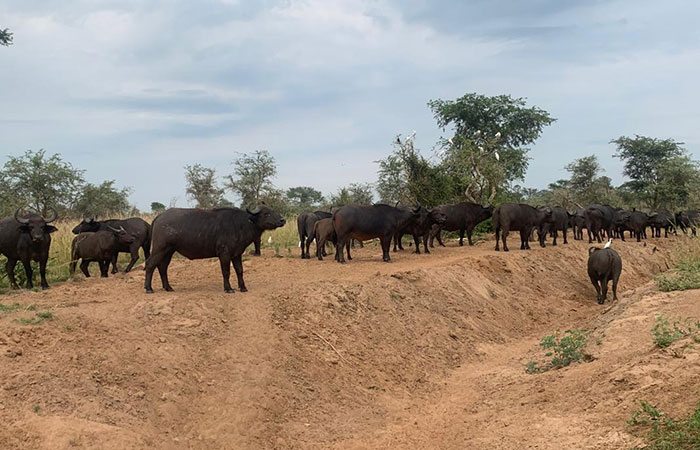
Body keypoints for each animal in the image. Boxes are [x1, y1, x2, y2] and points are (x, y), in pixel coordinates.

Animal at [142, 205, 284, 296]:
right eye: (266, 213)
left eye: (274, 211)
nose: (283, 220)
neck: (241, 224)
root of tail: (159, 217)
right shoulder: (224, 254)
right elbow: (226, 272)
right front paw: (228, 288)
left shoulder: (237, 254)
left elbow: (239, 271)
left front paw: (243, 287)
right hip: (160, 249)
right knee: (150, 264)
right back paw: (148, 288)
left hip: (169, 251)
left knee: (162, 267)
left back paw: (168, 287)